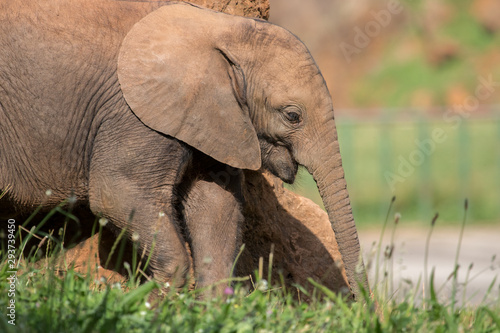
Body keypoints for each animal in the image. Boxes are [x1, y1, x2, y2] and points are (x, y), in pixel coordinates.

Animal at [0, 0, 368, 298]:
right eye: (292, 116)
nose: (357, 302)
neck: (221, 28)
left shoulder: (210, 117)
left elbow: (216, 204)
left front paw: (210, 310)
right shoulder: (137, 113)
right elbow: (115, 195)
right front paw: (151, 308)